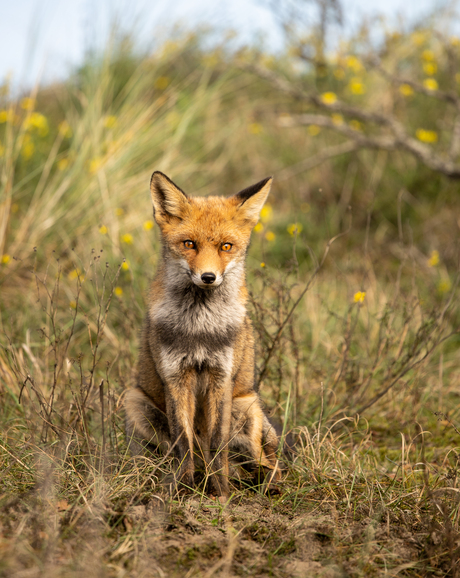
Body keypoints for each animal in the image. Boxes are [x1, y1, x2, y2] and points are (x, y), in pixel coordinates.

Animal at [123, 170, 280, 496]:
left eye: (226, 247)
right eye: (189, 244)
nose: (208, 277)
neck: (200, 327)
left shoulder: (221, 377)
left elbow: (217, 443)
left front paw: (220, 493)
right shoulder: (175, 378)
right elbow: (184, 442)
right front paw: (184, 490)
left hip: (246, 408)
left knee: (267, 461)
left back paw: (265, 482)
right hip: (134, 400)